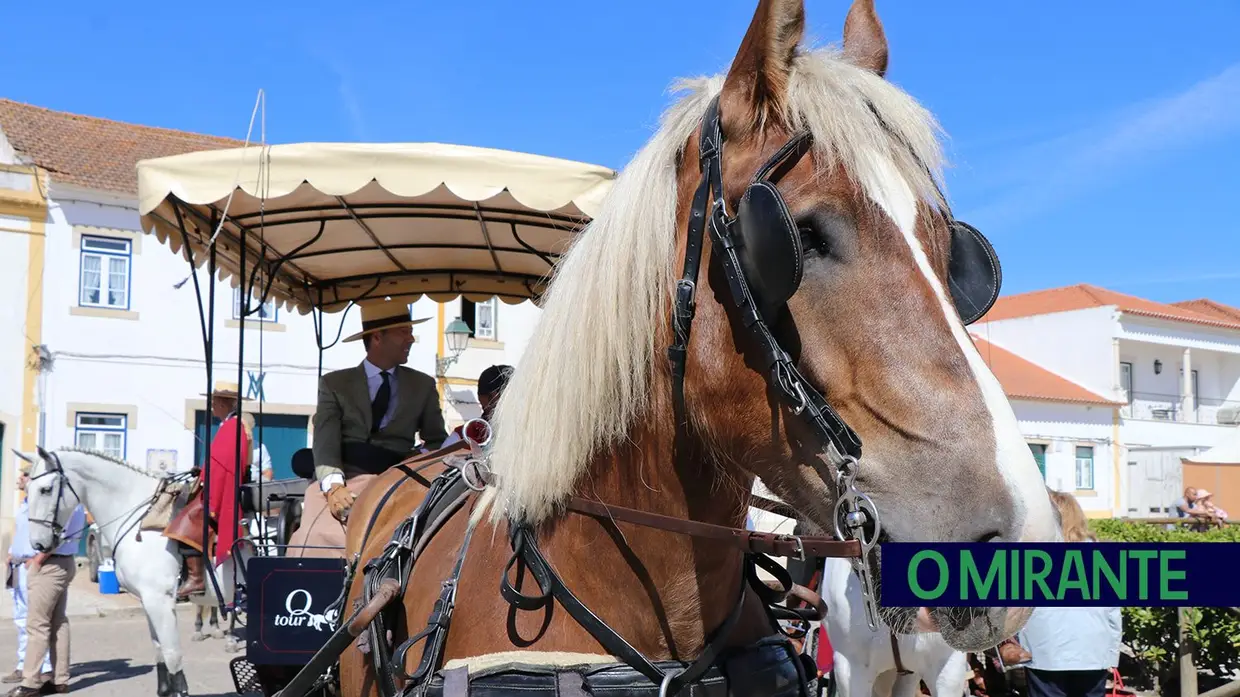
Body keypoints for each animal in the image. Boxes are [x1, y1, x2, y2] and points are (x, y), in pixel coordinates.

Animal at [18, 443, 250, 694]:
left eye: (46, 489)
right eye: (28, 488)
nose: (38, 544)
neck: (140, 517)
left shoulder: (160, 601)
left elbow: (172, 655)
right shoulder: (148, 602)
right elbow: (160, 653)